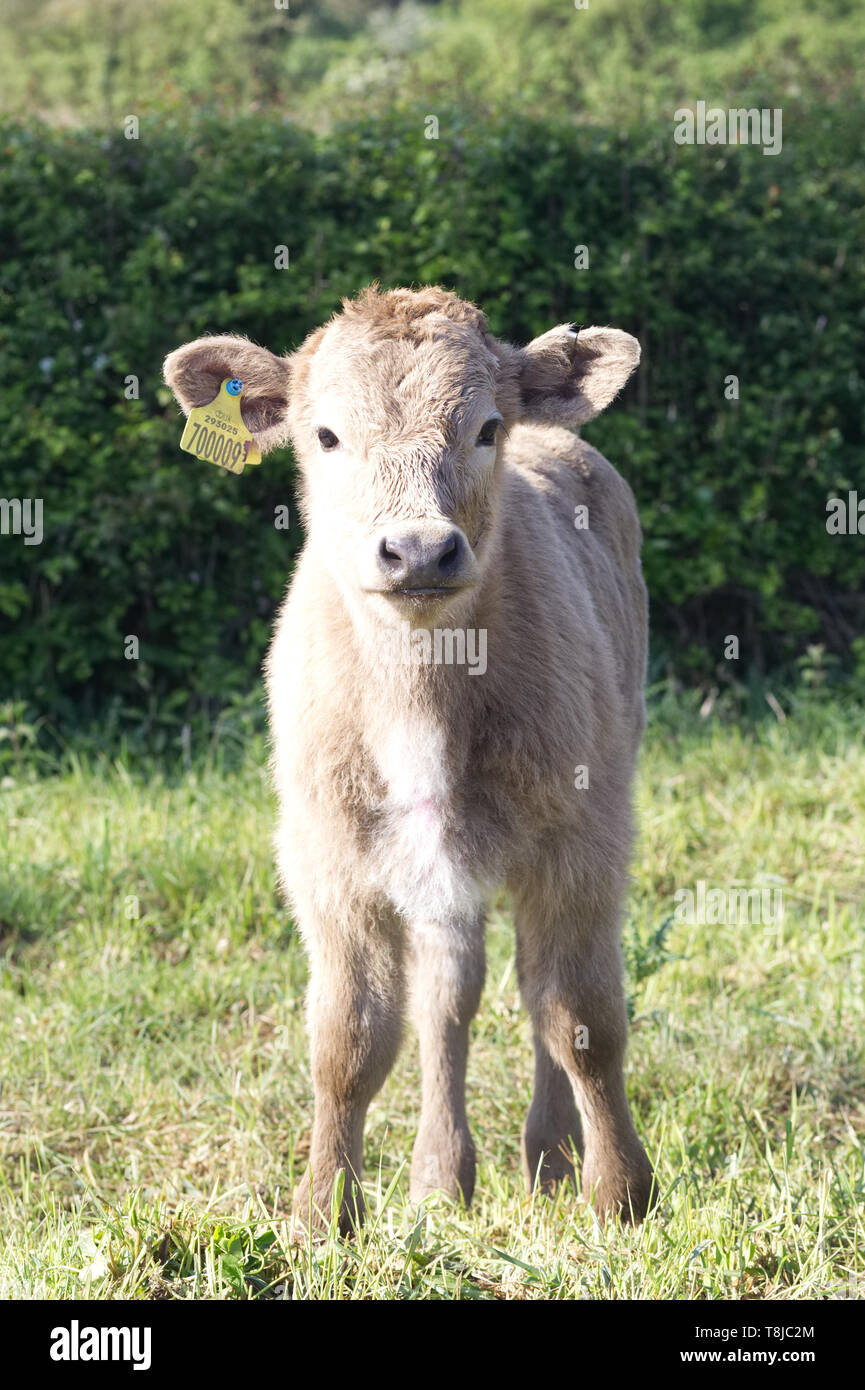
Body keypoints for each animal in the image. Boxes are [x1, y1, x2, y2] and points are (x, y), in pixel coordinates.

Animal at [162, 282, 653, 1228]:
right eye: (324, 435)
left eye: (486, 427)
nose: (419, 549)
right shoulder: (329, 861)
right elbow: (349, 1039)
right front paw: (323, 1212)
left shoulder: (582, 837)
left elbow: (580, 1018)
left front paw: (620, 1196)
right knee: (447, 1000)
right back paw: (441, 1177)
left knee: (531, 990)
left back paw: (548, 1159)